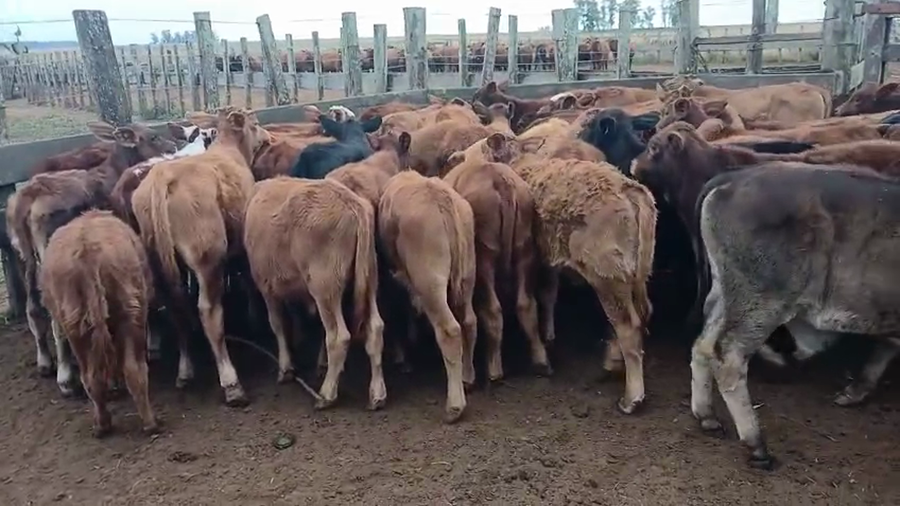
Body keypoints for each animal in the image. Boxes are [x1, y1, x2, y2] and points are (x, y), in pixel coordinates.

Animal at [39, 210, 159, 437]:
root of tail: (87, 252)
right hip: (127, 316)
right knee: (130, 369)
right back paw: (148, 423)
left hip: (79, 329)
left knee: (93, 376)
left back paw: (104, 425)